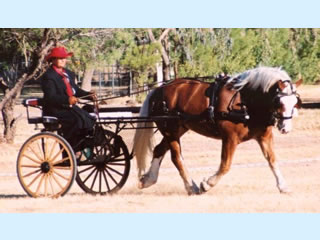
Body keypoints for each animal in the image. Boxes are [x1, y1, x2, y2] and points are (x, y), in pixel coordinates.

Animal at [132, 66, 302, 195]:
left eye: (295, 102)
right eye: (279, 101)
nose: (285, 128)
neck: (245, 102)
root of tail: (158, 90)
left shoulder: (264, 136)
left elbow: (272, 160)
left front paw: (283, 186)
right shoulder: (230, 138)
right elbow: (225, 164)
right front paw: (207, 184)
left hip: (178, 129)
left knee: (159, 150)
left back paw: (148, 180)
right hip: (170, 130)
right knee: (176, 157)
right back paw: (192, 187)